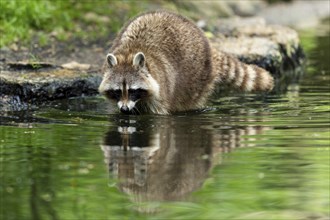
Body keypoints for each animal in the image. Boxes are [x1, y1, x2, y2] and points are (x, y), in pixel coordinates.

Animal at [98, 10, 274, 114]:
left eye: (133, 90)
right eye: (117, 91)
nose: (125, 109)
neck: (129, 53)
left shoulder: (161, 92)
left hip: (197, 78)